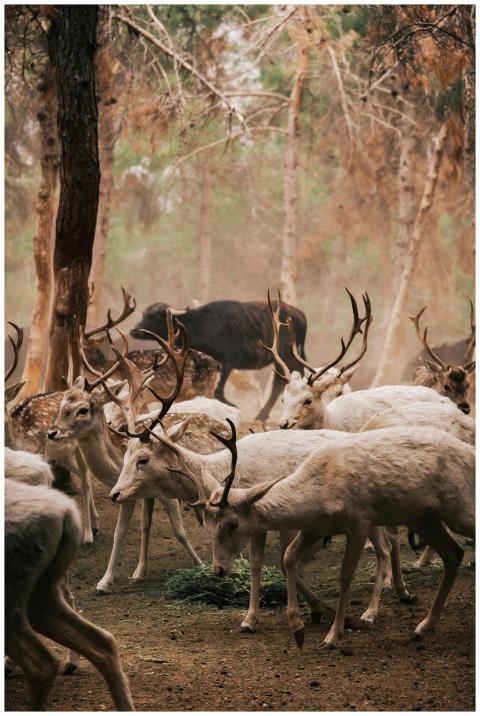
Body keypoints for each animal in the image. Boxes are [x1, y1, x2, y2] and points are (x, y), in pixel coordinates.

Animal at [200, 420, 474, 649]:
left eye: (232, 524)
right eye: (207, 523)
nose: (217, 570)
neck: (319, 493)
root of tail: (470, 452)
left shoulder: (359, 522)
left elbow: (345, 575)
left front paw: (333, 636)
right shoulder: (316, 528)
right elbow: (288, 558)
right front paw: (299, 629)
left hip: (459, 508)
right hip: (424, 519)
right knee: (454, 553)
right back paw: (422, 627)